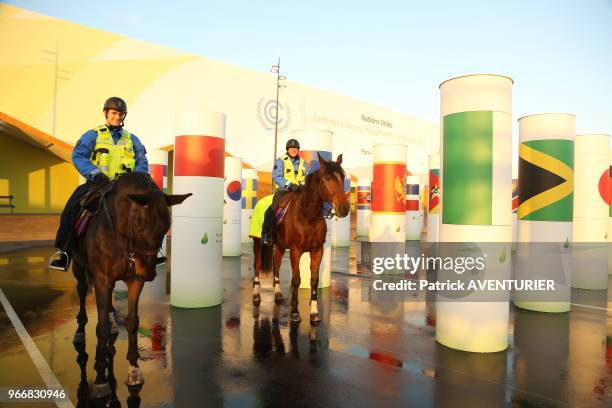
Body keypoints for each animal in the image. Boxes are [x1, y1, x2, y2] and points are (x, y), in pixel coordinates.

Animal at [70, 171, 189, 396]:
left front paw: (134, 370)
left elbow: (132, 321)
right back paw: (80, 330)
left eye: (167, 225)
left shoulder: (134, 281)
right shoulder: (101, 278)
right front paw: (101, 378)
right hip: (79, 267)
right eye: (140, 221)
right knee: (81, 291)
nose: (148, 271)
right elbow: (101, 326)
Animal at [252, 153, 350, 326]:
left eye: (342, 177)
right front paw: (295, 313)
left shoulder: (317, 251)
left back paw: (277, 294)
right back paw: (256, 295)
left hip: (280, 246)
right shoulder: (295, 251)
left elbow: (314, 280)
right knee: (257, 265)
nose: (344, 208)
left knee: (276, 264)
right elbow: (296, 280)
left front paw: (314, 313)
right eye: (327, 178)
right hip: (258, 242)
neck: (307, 215)